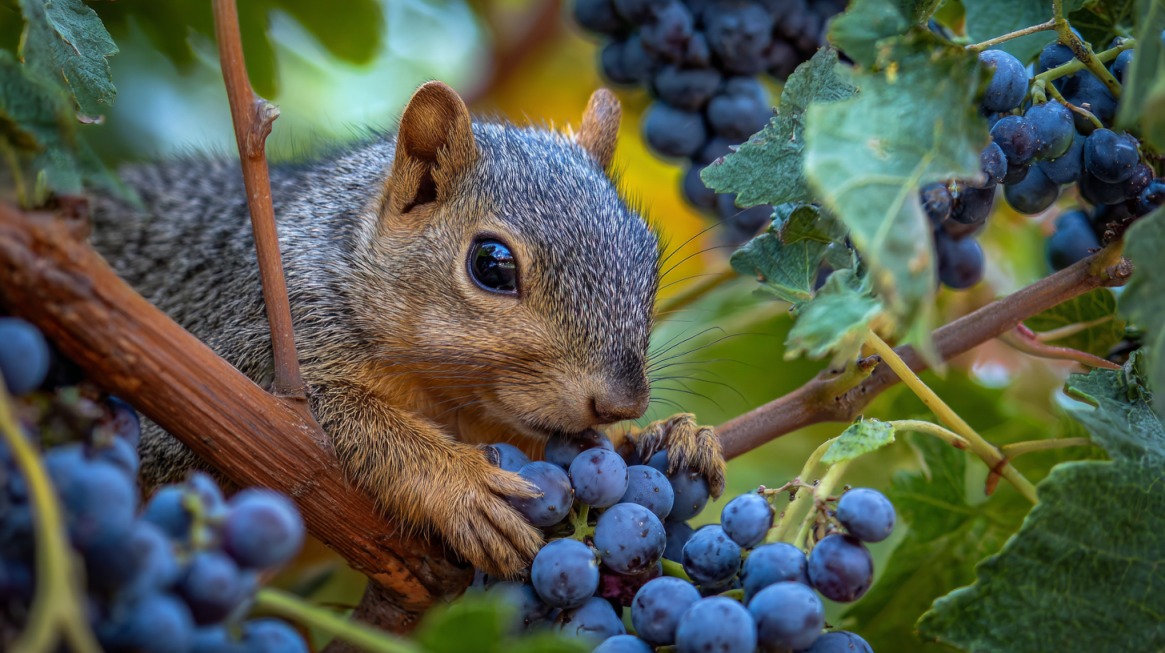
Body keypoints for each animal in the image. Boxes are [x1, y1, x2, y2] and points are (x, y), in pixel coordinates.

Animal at [88, 81, 726, 577]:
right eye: (491, 265)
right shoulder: (243, 347)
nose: (621, 403)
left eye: (649, 257)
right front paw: (461, 486)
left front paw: (667, 437)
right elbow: (328, 418)